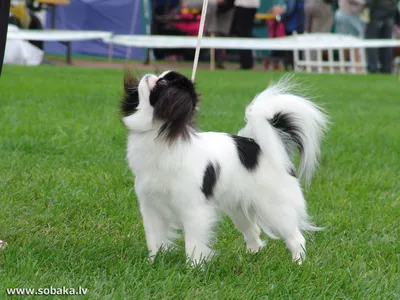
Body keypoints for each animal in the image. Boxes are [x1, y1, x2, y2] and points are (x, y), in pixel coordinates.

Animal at [121, 71, 328, 268]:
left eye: (161, 83)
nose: (149, 75)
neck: (161, 137)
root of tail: (263, 146)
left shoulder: (194, 210)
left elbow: (193, 243)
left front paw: (193, 268)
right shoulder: (150, 207)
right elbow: (154, 239)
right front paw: (152, 263)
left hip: (275, 208)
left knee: (296, 238)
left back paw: (298, 263)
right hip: (239, 209)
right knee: (253, 232)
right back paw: (250, 258)